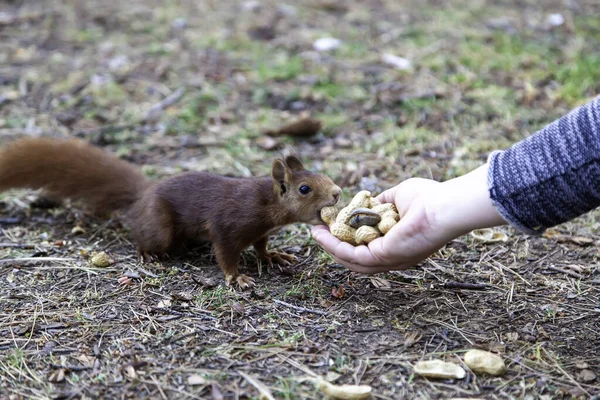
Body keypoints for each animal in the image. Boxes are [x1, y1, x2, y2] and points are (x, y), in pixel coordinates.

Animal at [0, 138, 342, 288]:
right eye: (304, 189)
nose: (338, 192)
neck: (265, 204)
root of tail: (142, 196)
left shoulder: (261, 231)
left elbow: (260, 246)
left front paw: (273, 257)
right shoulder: (228, 224)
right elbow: (225, 253)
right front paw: (236, 277)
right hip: (160, 226)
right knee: (143, 236)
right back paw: (148, 254)